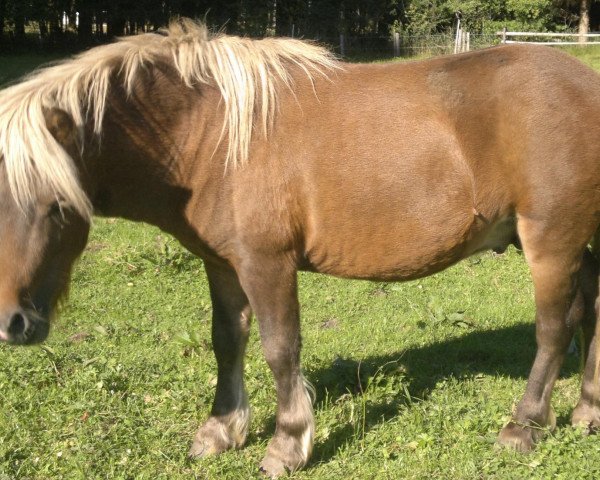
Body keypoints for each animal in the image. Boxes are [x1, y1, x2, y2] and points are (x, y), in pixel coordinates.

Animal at [1, 18, 600, 476]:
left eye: (56, 205)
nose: (12, 323)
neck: (210, 134)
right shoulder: (222, 264)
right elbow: (227, 342)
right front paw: (221, 429)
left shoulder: (267, 263)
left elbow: (279, 348)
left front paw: (286, 445)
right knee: (591, 306)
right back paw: (587, 409)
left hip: (550, 240)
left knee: (555, 328)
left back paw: (524, 425)